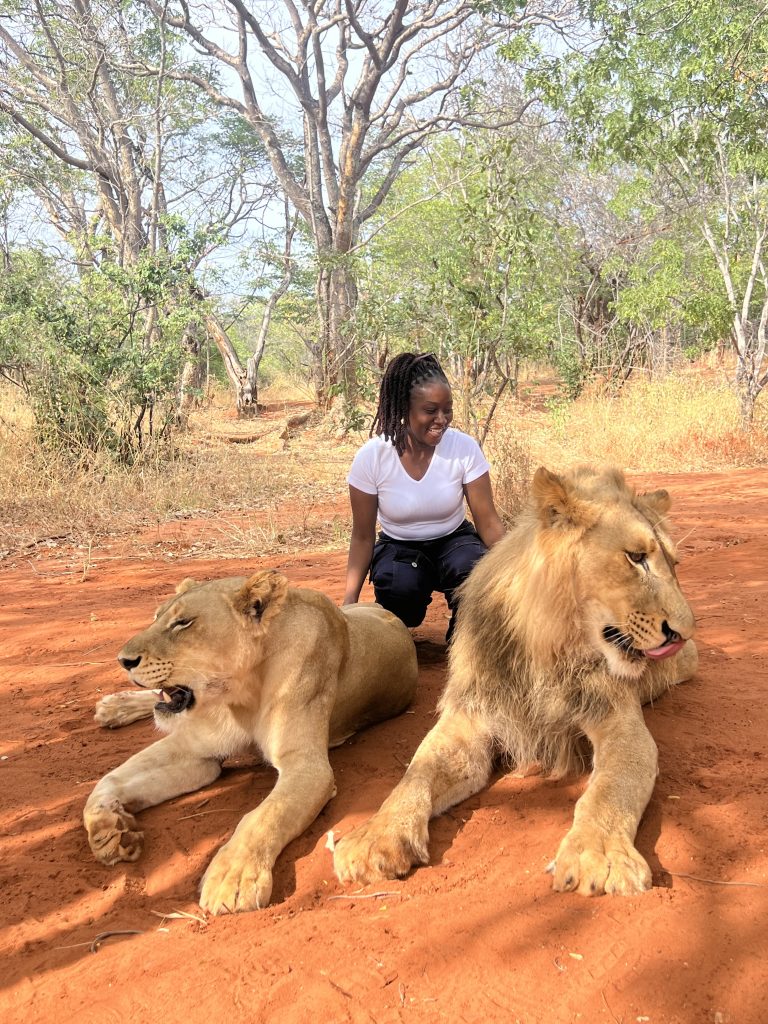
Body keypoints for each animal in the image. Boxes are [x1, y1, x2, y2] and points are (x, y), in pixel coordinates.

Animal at [84, 571, 418, 914]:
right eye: (155, 618)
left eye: (183, 623)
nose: (123, 660)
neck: (240, 691)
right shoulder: (196, 749)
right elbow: (108, 780)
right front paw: (109, 832)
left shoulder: (308, 767)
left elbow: (262, 817)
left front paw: (232, 877)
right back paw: (114, 706)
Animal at [334, 465, 698, 897]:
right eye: (636, 558)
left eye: (674, 565)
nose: (685, 631)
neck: (548, 649)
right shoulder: (470, 715)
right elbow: (416, 773)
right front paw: (374, 836)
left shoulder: (620, 723)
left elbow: (612, 787)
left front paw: (600, 855)